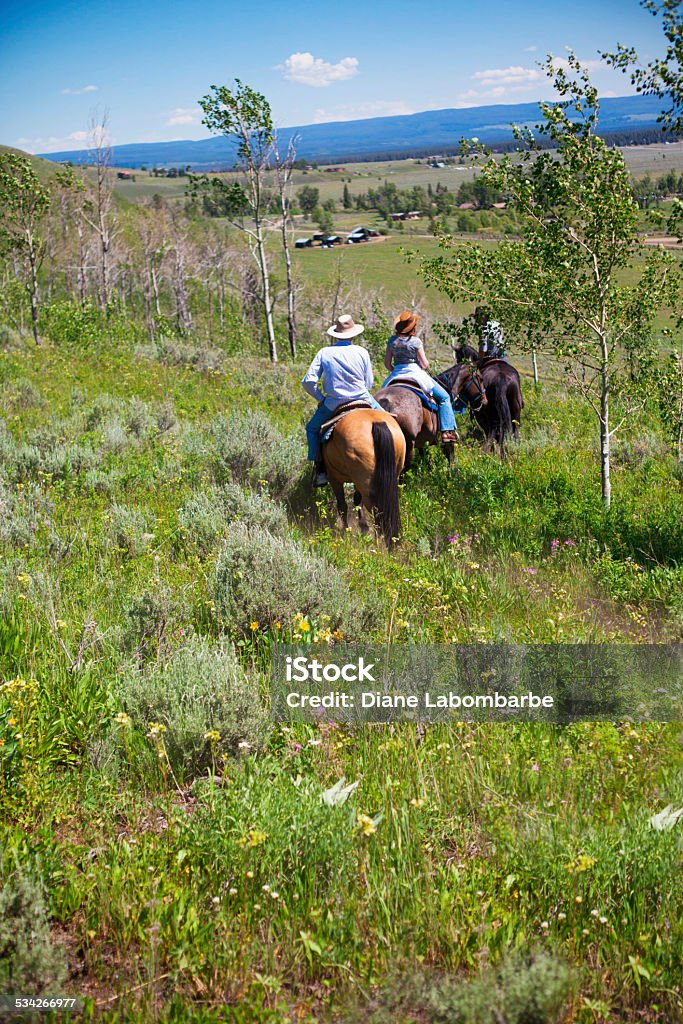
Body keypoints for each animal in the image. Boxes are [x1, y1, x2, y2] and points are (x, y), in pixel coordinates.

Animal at [321, 409, 405, 548]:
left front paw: (345, 532)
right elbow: (356, 500)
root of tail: (376, 422)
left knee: (377, 513)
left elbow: (342, 506)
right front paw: (363, 528)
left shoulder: (334, 478)